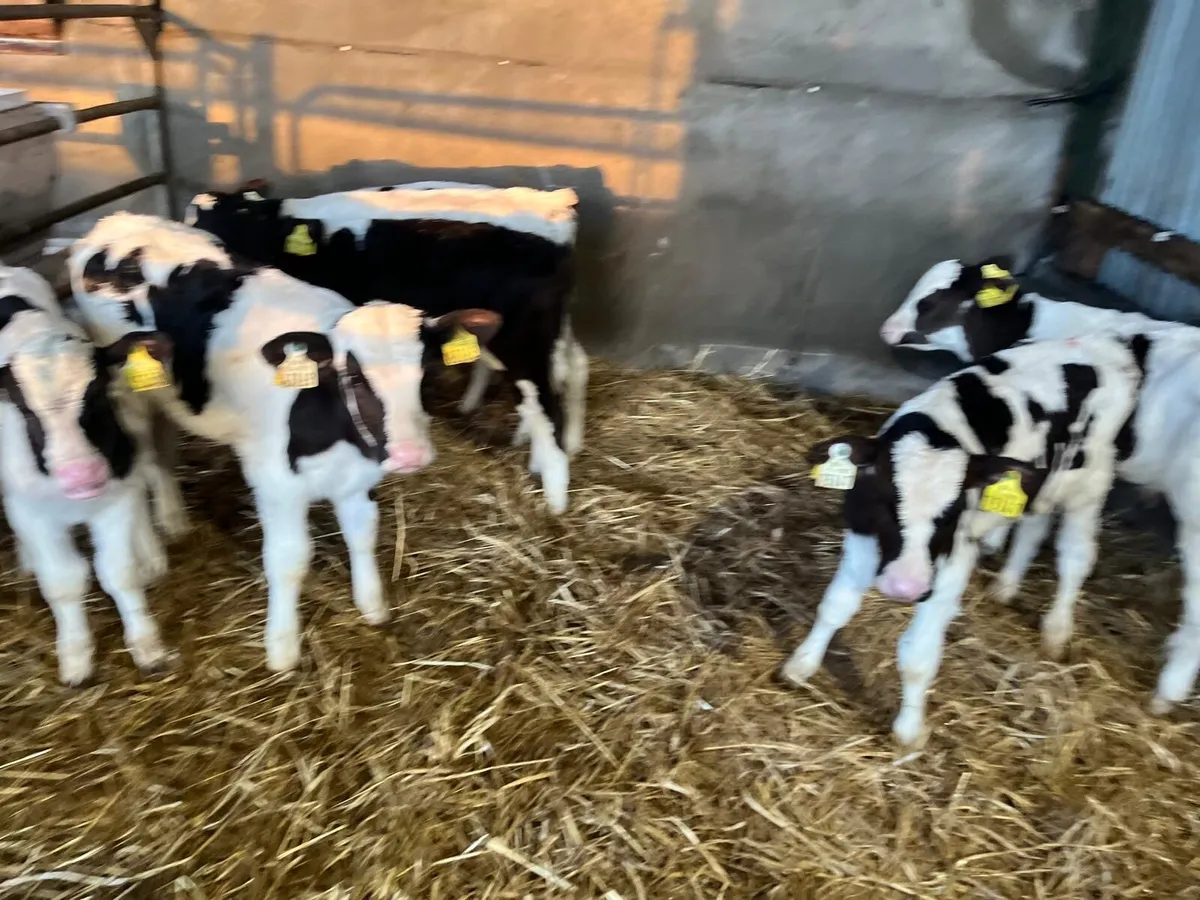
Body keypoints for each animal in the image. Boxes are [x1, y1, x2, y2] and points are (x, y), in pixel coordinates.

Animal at [0, 264, 168, 684]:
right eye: (25, 411)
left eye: (96, 395)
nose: (81, 475)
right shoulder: (29, 511)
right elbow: (61, 582)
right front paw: (75, 655)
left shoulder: (116, 495)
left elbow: (118, 572)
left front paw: (147, 645)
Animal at [67, 212, 503, 672]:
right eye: (352, 376)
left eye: (426, 371)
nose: (410, 454)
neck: (330, 429)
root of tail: (115, 221)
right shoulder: (276, 485)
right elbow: (289, 560)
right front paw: (282, 646)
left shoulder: (359, 477)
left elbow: (362, 534)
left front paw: (372, 604)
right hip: (125, 393)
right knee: (142, 462)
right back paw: (152, 552)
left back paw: (173, 519)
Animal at [183, 179, 588, 514]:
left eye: (229, 224)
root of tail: (554, 203)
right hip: (549, 328)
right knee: (571, 367)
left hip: (524, 340)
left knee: (545, 403)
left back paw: (555, 500)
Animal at [780, 334, 1146, 746]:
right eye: (884, 500)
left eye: (953, 510)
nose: (906, 587)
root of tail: (1106, 342)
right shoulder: (861, 536)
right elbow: (834, 607)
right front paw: (802, 665)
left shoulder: (953, 563)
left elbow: (917, 656)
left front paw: (909, 732)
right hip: (1044, 480)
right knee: (1033, 526)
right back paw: (1006, 586)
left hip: (1091, 480)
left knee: (1075, 557)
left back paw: (1056, 630)